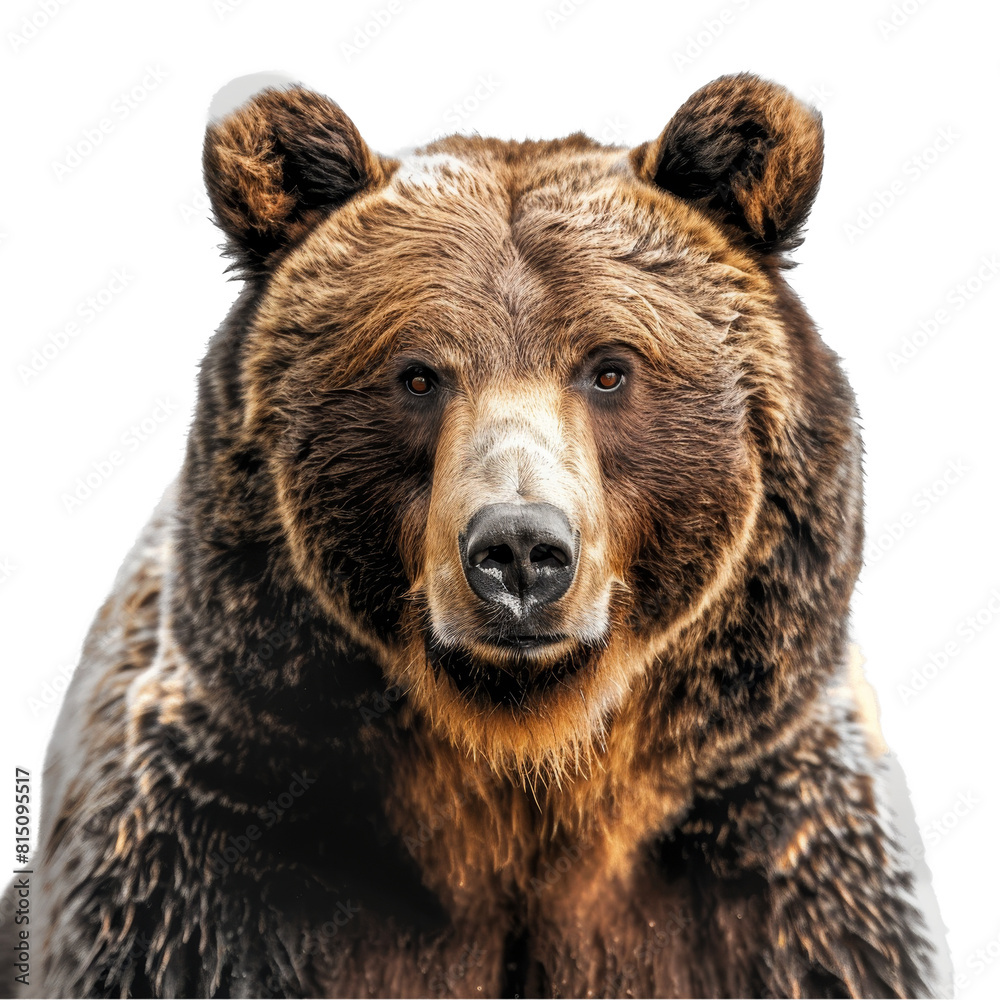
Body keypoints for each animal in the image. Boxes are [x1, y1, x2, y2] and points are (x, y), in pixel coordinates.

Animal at [1, 74, 936, 996]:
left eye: (610, 368)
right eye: (416, 375)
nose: (520, 551)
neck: (515, 780)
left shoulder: (776, 874)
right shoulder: (215, 861)